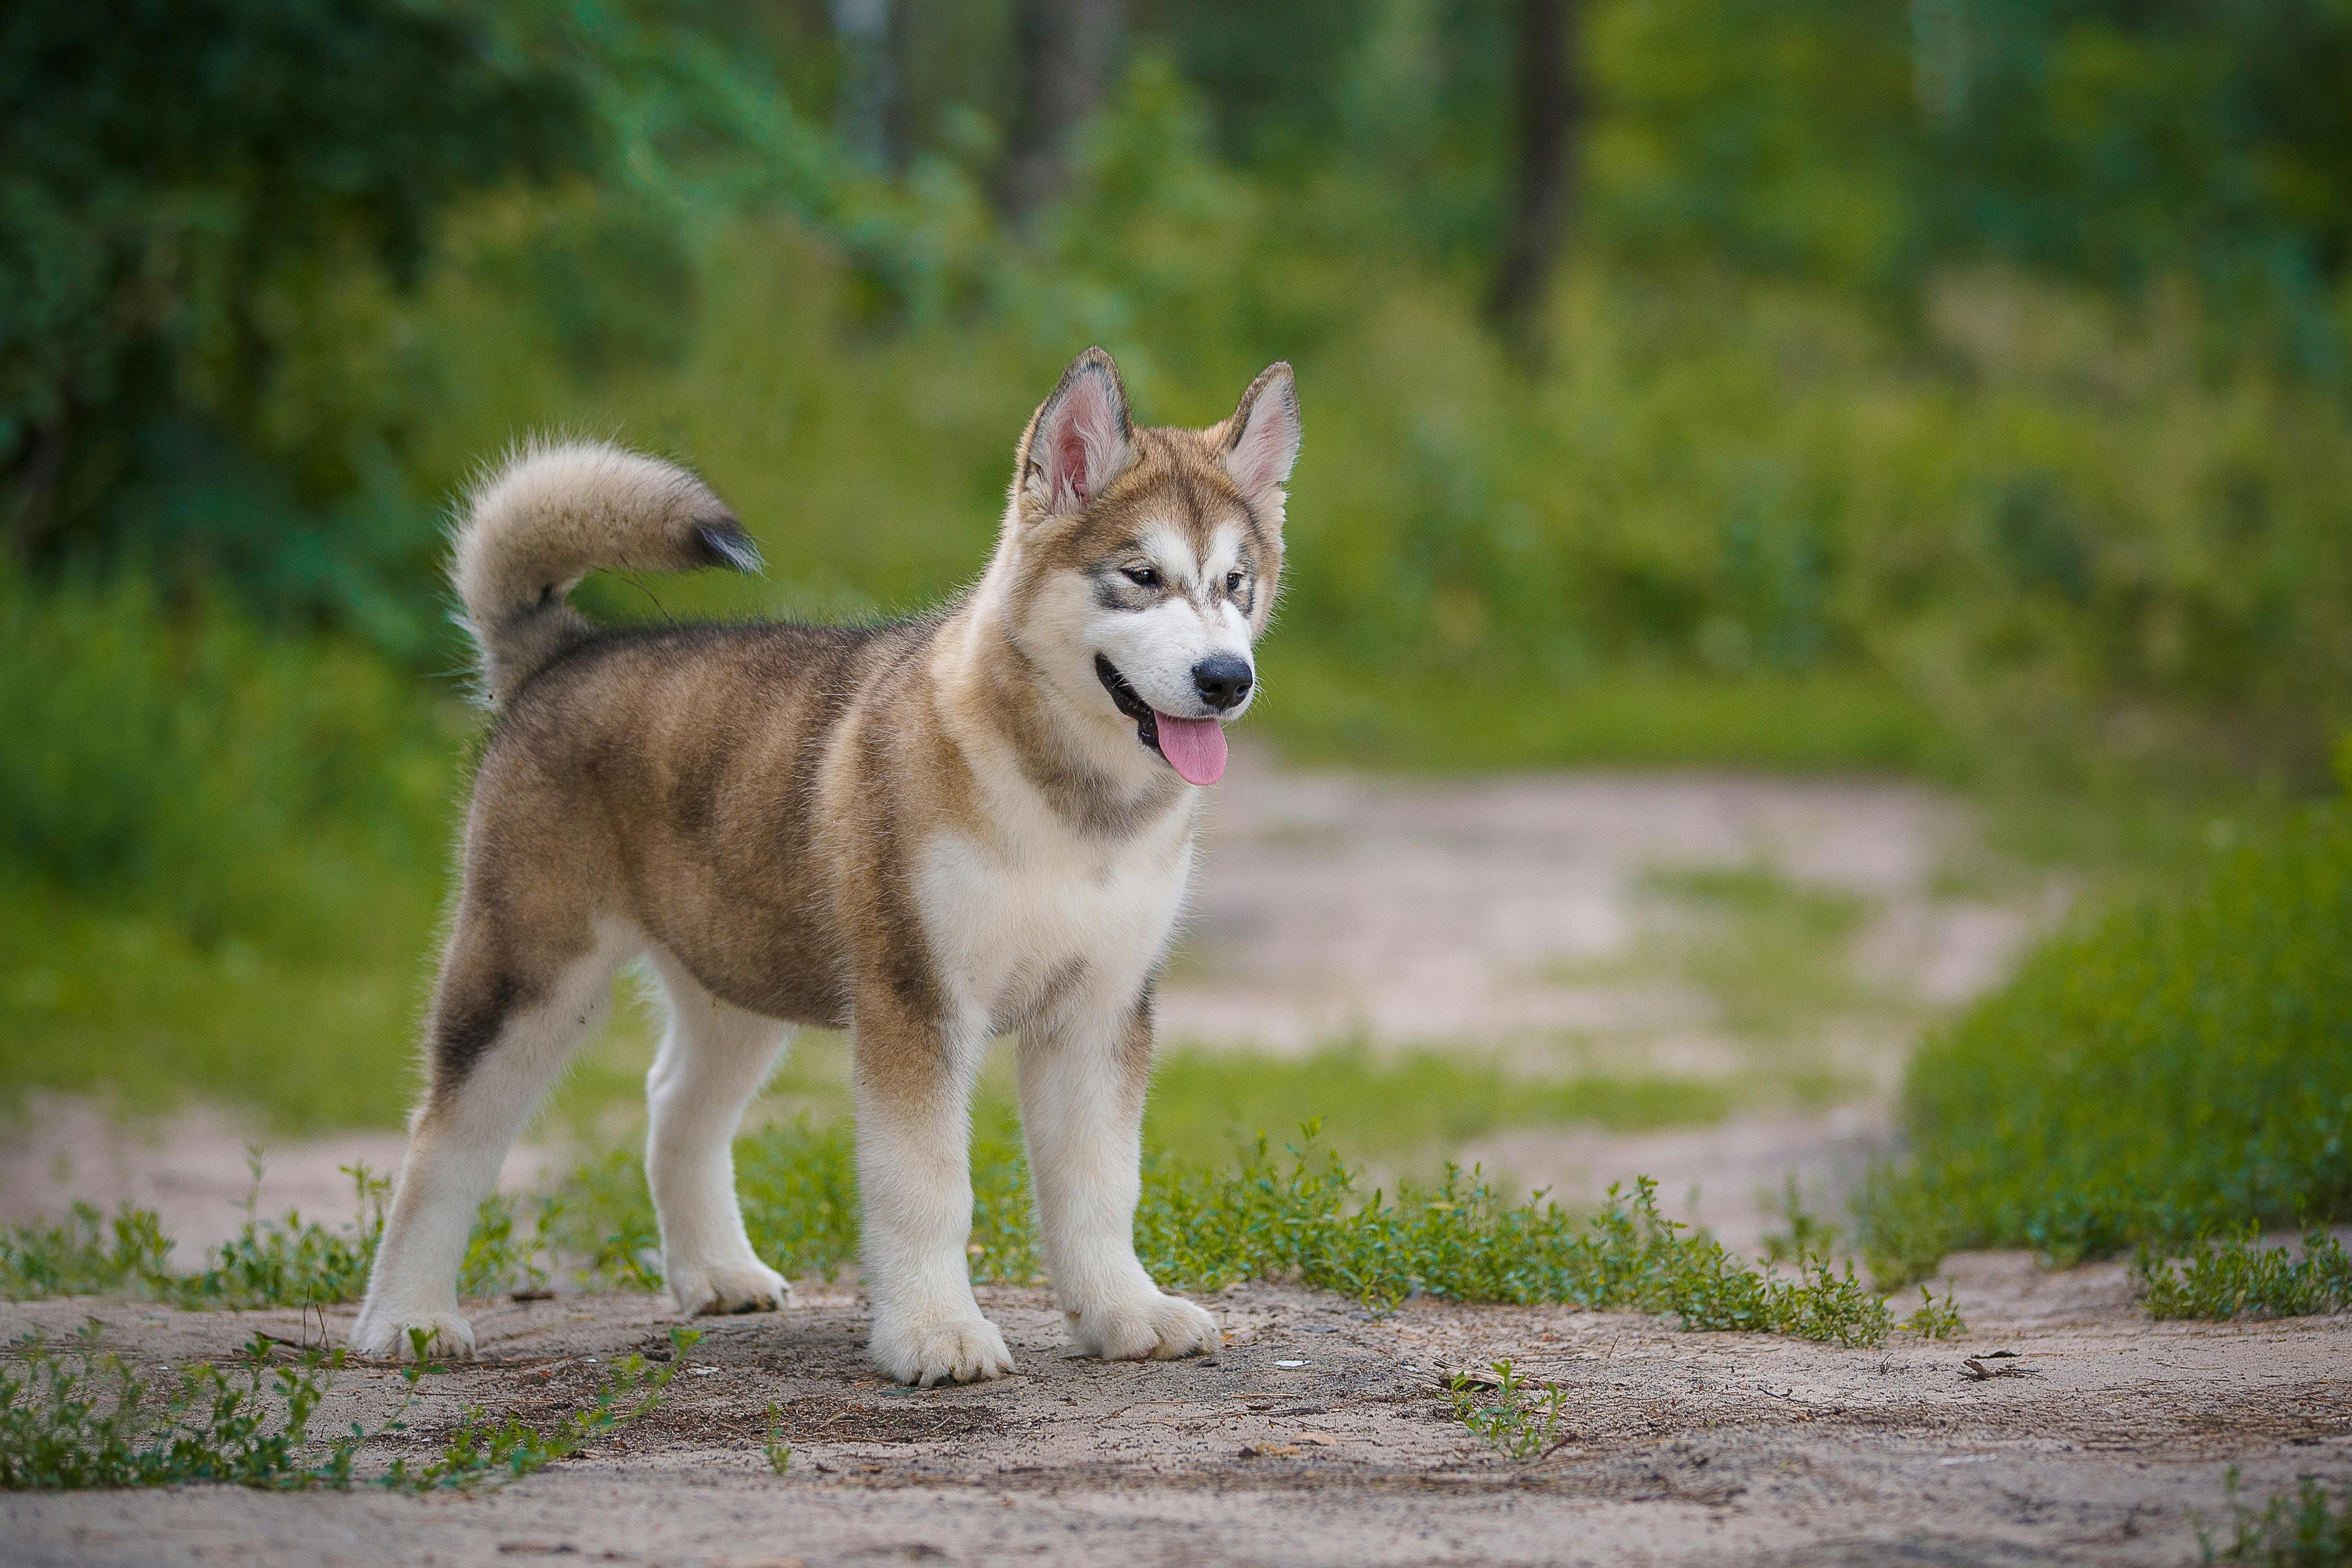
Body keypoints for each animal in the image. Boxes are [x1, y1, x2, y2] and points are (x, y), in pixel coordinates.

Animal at [350, 345, 1308, 1382]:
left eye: (1237, 581)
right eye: (1139, 574)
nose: (1227, 679)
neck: (1072, 809)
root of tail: (569, 650)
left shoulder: (1101, 1007)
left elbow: (1100, 1185)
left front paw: (1125, 1311)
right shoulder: (914, 997)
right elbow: (927, 1184)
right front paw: (934, 1330)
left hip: (736, 970)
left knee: (674, 1104)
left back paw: (716, 1272)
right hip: (528, 972)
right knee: (445, 1136)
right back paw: (407, 1318)